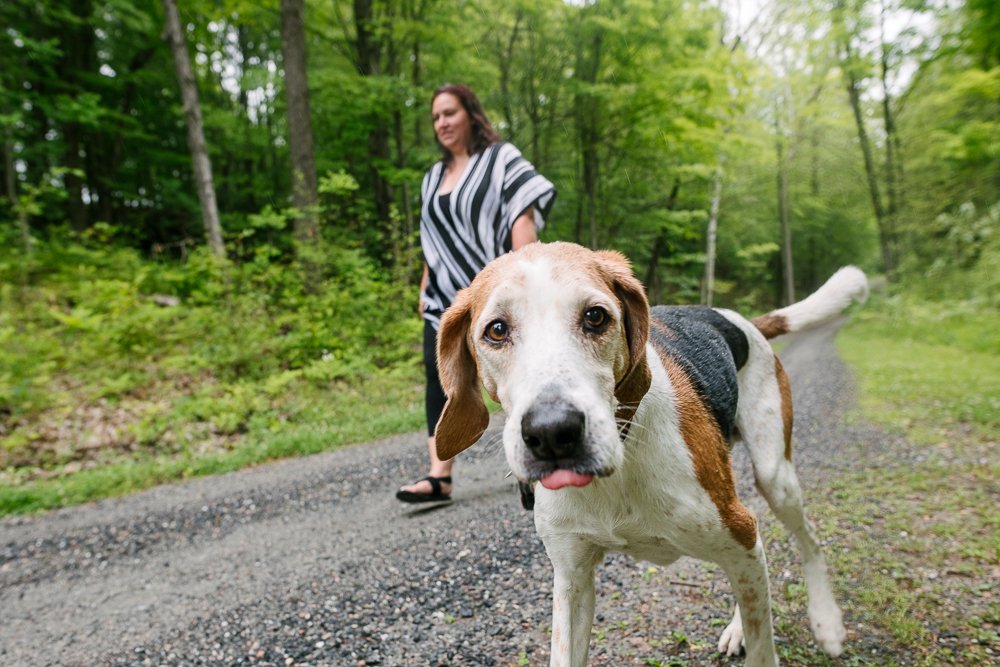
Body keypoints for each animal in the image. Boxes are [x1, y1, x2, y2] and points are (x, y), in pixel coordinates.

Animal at [434, 244, 864, 667]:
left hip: (775, 479)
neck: (617, 471)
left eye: (595, 317)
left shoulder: (736, 532)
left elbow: (763, 645)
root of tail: (739, 319)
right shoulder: (572, 578)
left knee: (807, 543)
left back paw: (827, 622)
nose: (552, 432)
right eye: (497, 330)